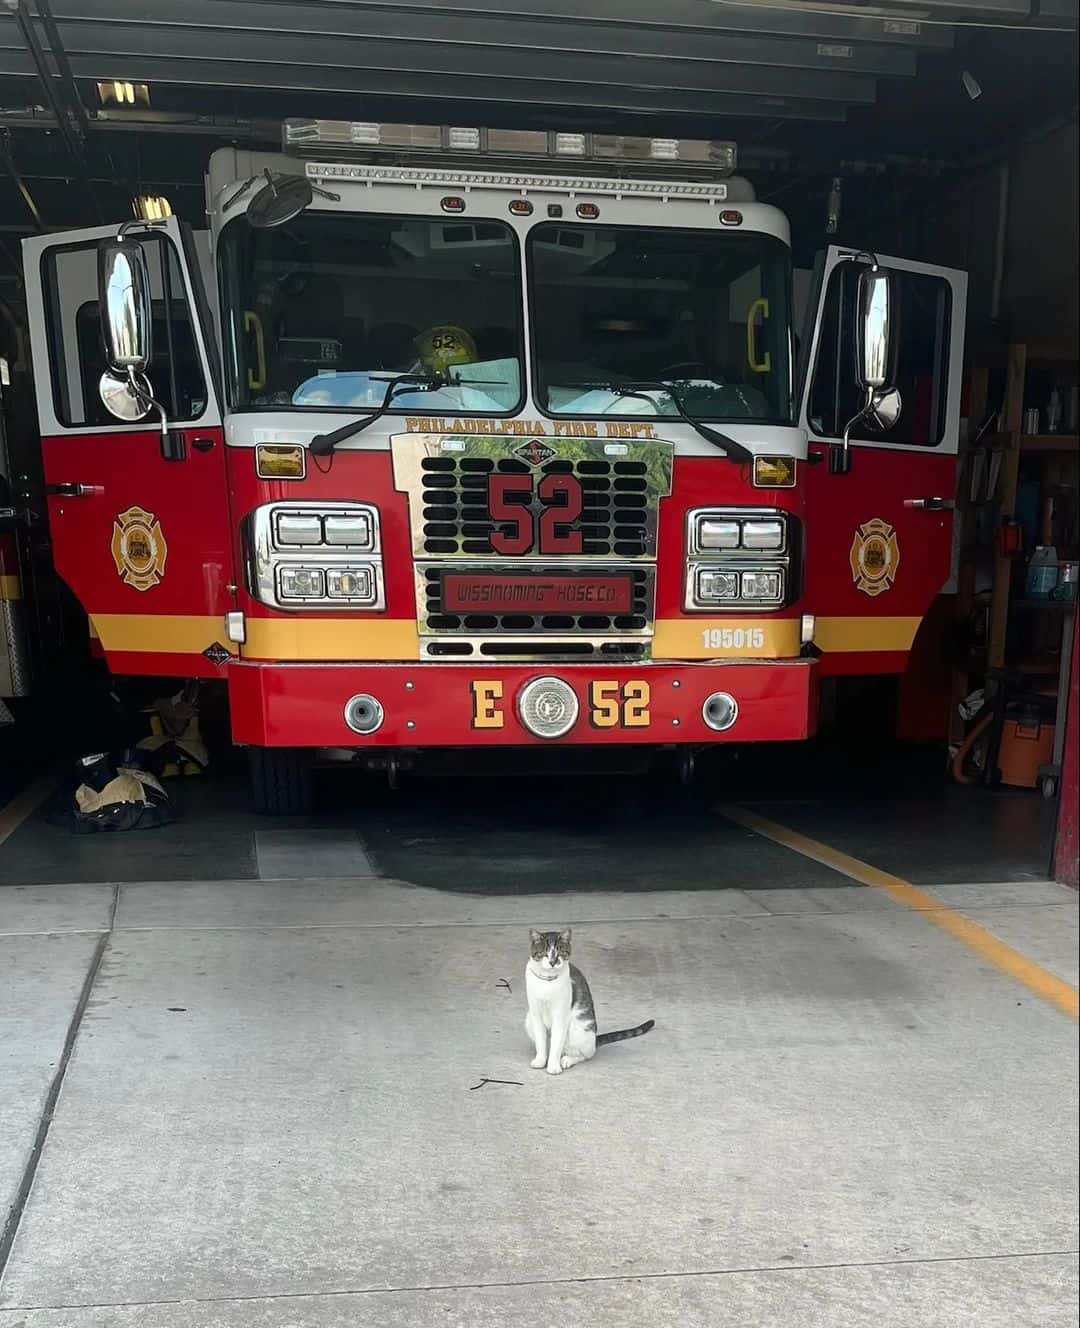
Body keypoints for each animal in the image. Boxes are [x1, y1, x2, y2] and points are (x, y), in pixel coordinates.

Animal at [520, 929, 648, 1073]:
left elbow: (556, 1043)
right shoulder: (535, 1013)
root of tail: (594, 1040)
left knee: (584, 1054)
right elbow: (541, 1041)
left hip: (578, 1028)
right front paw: (540, 1060)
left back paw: (567, 1060)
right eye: (545, 953)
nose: (553, 962)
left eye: (560, 952)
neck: (547, 983)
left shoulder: (560, 1016)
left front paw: (553, 1066)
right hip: (529, 1020)